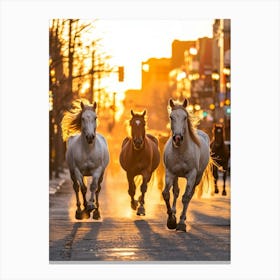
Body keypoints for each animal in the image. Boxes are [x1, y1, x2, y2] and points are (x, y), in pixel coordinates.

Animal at [162, 98, 212, 232]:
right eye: (171, 117)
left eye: (185, 117)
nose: (178, 138)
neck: (181, 151)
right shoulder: (170, 173)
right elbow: (167, 194)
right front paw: (171, 220)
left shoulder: (191, 175)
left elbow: (185, 197)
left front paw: (180, 223)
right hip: (175, 176)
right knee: (176, 192)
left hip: (198, 178)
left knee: (189, 195)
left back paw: (183, 218)